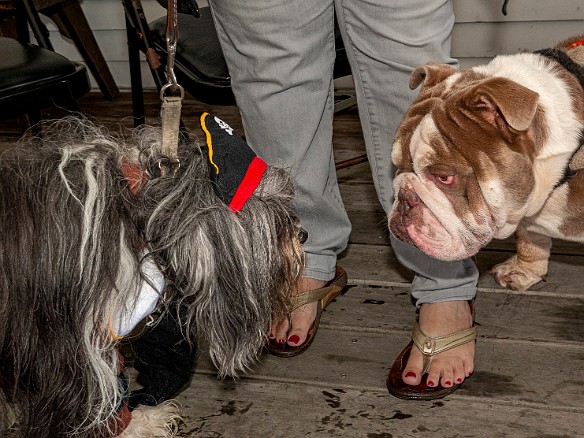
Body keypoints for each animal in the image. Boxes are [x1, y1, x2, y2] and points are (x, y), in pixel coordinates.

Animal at [0, 114, 302, 436]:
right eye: (272, 208)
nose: (303, 235)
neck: (137, 209)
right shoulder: (74, 346)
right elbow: (100, 393)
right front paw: (134, 426)